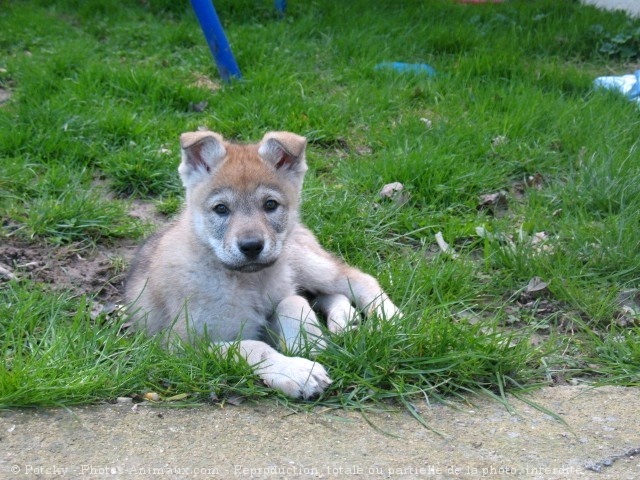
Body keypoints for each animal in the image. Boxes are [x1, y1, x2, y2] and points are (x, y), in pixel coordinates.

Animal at [126, 129, 400, 400]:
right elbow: (251, 347)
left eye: (270, 204)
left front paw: (305, 341)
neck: (246, 282)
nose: (251, 246)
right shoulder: (181, 348)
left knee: (356, 278)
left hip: (303, 262)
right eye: (221, 208)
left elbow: (291, 302)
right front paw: (297, 371)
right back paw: (346, 320)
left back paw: (388, 317)